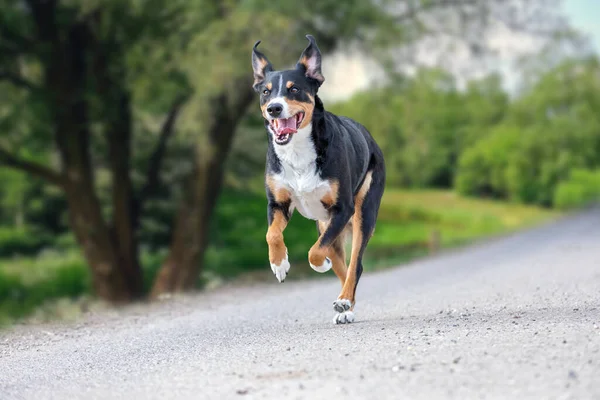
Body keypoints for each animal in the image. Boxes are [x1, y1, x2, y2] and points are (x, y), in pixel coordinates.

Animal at [252, 32, 384, 324]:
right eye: (266, 91)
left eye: (294, 89)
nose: (274, 109)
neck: (298, 151)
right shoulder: (278, 204)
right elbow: (271, 234)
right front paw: (279, 264)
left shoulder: (342, 209)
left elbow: (314, 251)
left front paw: (318, 264)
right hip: (327, 225)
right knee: (343, 266)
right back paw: (346, 307)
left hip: (361, 214)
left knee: (355, 264)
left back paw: (344, 301)